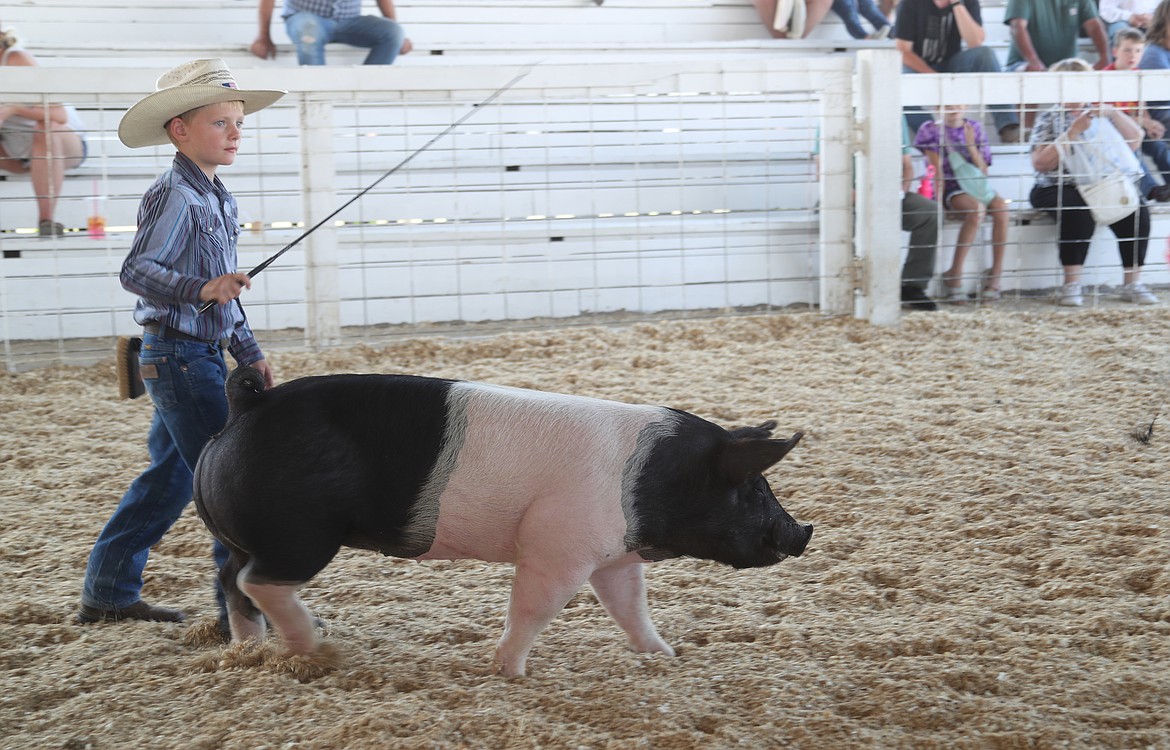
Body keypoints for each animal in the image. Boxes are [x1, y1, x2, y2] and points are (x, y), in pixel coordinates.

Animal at [194, 365, 814, 673]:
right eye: (753, 489)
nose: (803, 531)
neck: (651, 482)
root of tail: (249, 405)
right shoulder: (556, 545)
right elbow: (534, 607)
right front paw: (511, 672)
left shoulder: (613, 553)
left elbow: (630, 606)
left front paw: (665, 657)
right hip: (300, 532)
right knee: (259, 581)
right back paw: (316, 651)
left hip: (250, 535)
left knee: (231, 579)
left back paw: (248, 650)